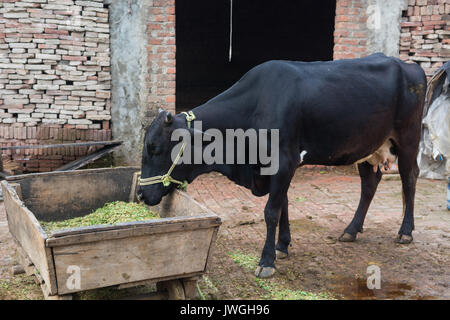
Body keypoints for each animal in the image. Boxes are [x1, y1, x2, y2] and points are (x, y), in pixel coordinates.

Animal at [139, 52, 428, 278]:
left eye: (154, 148)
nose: (141, 194)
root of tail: (409, 65)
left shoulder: (283, 161)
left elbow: (271, 211)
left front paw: (266, 261)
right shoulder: (278, 168)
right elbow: (284, 206)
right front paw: (282, 246)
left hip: (408, 137)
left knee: (409, 177)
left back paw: (405, 232)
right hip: (368, 146)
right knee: (369, 184)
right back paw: (351, 230)